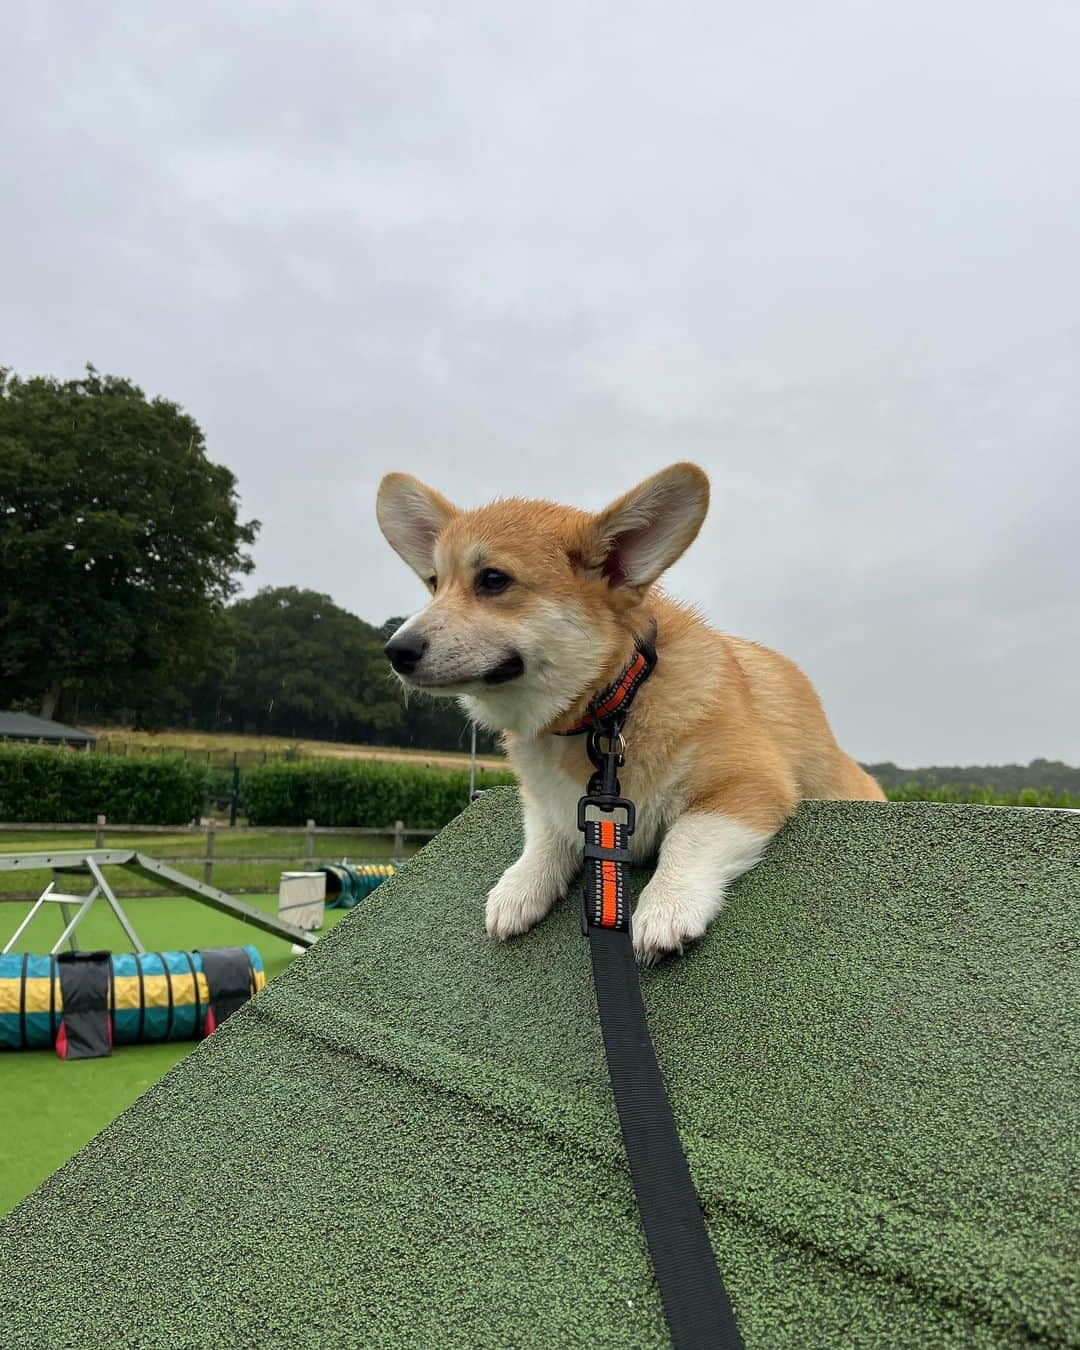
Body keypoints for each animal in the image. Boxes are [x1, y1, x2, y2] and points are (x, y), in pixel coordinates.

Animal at [380, 464, 885, 961]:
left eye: (493, 580)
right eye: (434, 583)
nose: (395, 650)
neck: (612, 703)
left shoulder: (750, 783)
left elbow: (688, 835)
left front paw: (666, 906)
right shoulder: (554, 805)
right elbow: (544, 835)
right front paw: (518, 888)